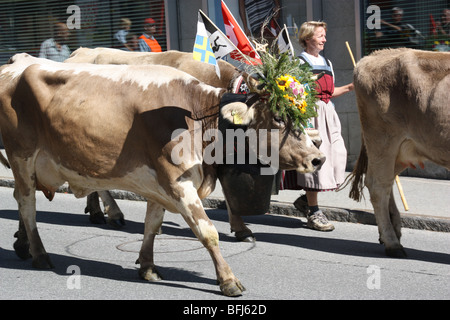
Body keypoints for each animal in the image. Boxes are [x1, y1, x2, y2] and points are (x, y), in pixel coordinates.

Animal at [0, 52, 324, 296]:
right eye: (279, 118)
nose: (318, 158)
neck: (198, 115)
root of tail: (17, 62)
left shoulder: (159, 182)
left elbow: (151, 226)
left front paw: (148, 267)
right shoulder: (178, 182)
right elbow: (207, 232)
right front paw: (228, 280)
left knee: (20, 197)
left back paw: (22, 243)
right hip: (22, 155)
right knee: (27, 204)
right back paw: (40, 254)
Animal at [346, 48, 448, 258]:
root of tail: (375, 54)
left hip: (399, 150)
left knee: (386, 183)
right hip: (383, 141)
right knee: (378, 186)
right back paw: (393, 243)